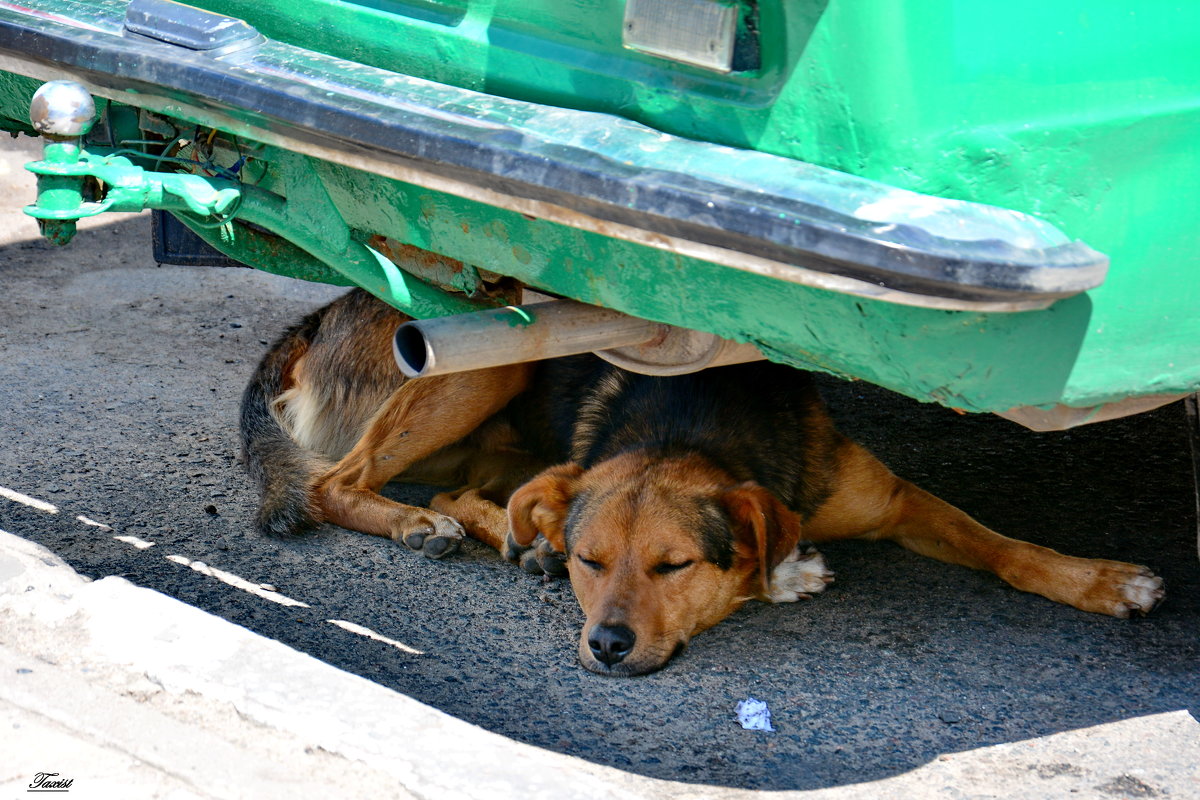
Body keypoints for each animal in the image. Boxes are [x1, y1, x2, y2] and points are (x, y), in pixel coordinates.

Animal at [241, 287, 1161, 676]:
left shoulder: (895, 499)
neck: (690, 421)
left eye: (673, 565)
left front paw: (1099, 580)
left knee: (468, 493)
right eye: (595, 562)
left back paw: (496, 534)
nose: (607, 647)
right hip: (479, 368)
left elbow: (1002, 545)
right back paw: (427, 528)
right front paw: (785, 574)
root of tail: (322, 314)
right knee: (336, 482)